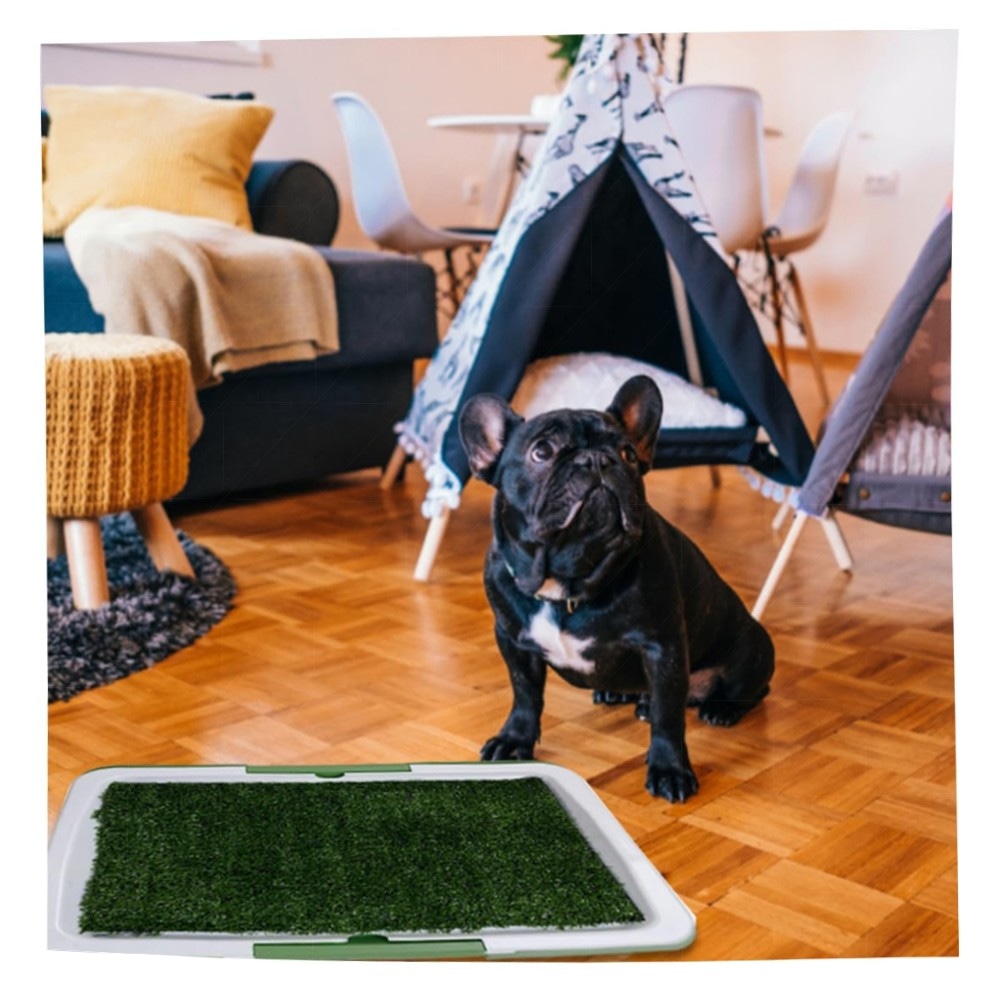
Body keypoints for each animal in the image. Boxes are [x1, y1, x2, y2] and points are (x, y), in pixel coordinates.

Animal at [459, 374, 774, 803]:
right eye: (542, 451)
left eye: (627, 453)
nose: (596, 460)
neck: (569, 582)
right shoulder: (511, 640)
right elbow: (524, 693)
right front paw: (515, 740)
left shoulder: (663, 647)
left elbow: (667, 716)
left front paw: (670, 770)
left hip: (751, 649)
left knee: (752, 690)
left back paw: (720, 709)